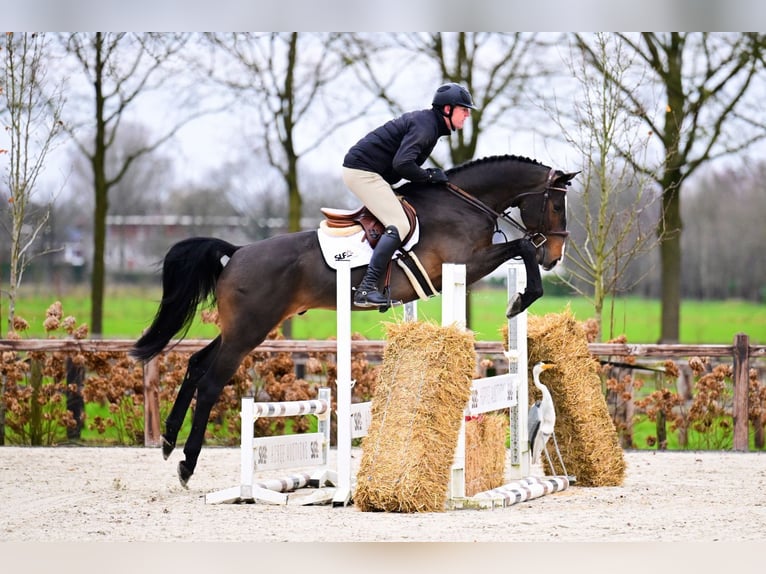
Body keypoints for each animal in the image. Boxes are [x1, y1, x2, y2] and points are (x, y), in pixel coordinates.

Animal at [130, 153, 576, 486]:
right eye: (556, 204)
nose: (556, 256)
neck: (464, 203)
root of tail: (236, 252)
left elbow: (521, 248)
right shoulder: (466, 263)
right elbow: (522, 246)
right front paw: (521, 300)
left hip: (242, 328)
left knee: (195, 364)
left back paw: (167, 441)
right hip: (249, 330)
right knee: (210, 383)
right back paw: (186, 464)